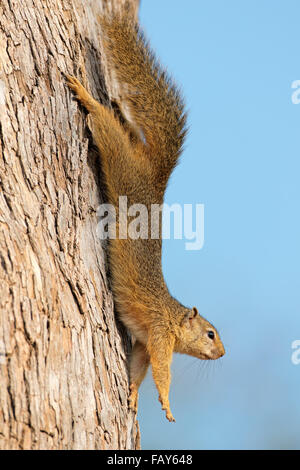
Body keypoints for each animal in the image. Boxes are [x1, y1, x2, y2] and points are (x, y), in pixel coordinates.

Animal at [66, 11, 225, 422]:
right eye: (210, 333)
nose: (223, 354)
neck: (172, 313)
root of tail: (155, 178)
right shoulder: (159, 334)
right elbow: (162, 371)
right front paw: (167, 403)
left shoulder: (142, 341)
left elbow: (138, 367)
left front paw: (134, 395)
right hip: (122, 164)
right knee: (107, 131)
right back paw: (87, 96)